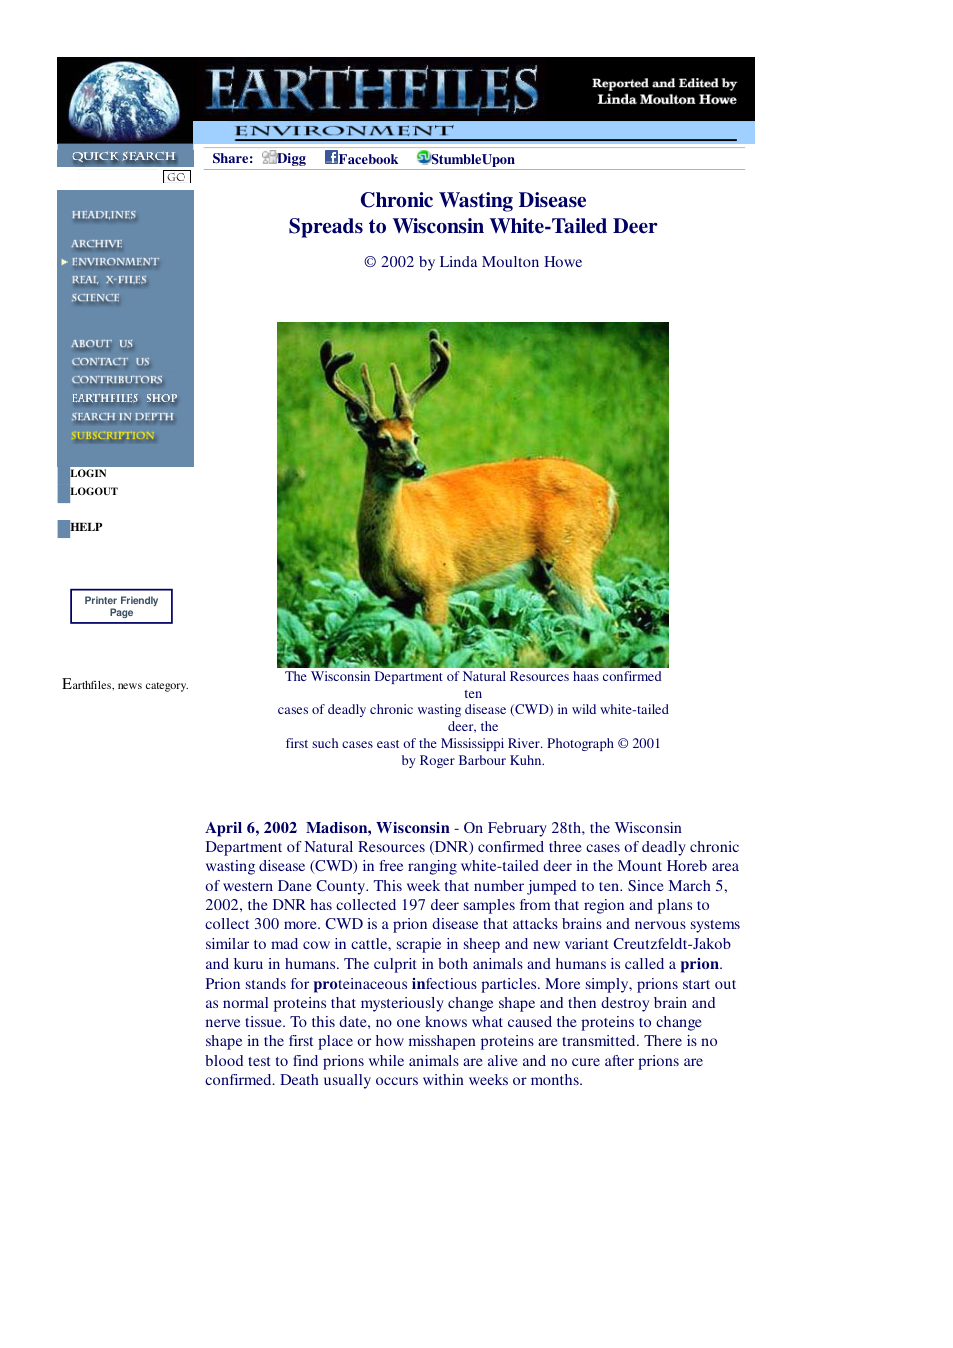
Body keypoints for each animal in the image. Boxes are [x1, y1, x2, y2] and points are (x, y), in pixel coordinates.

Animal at [319, 329, 618, 627]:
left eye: (415, 437)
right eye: (383, 440)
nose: (418, 467)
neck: (396, 544)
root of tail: (611, 493)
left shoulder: (438, 583)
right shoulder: (394, 598)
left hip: (572, 552)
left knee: (606, 619)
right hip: (542, 573)